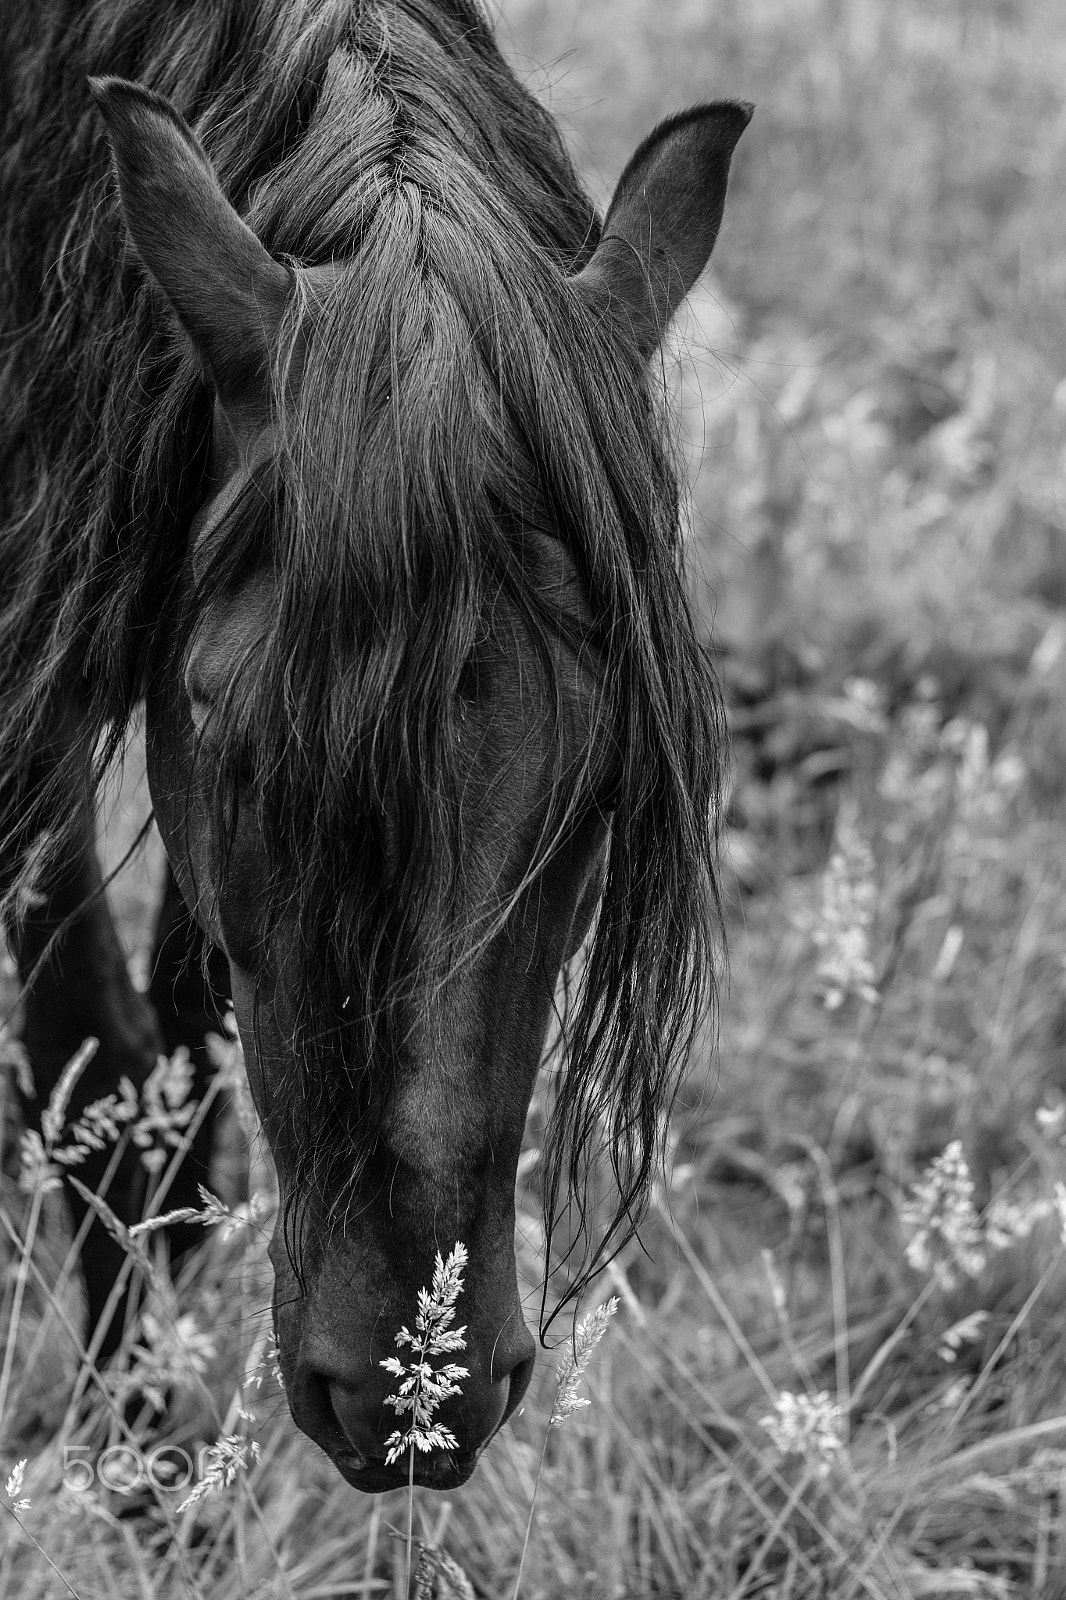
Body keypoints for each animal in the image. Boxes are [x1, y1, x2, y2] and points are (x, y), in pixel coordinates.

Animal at [0, 0, 749, 1492]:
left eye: (600, 792)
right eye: (232, 733)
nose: (421, 1397)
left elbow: (184, 1072)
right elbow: (97, 1055)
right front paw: (142, 1469)